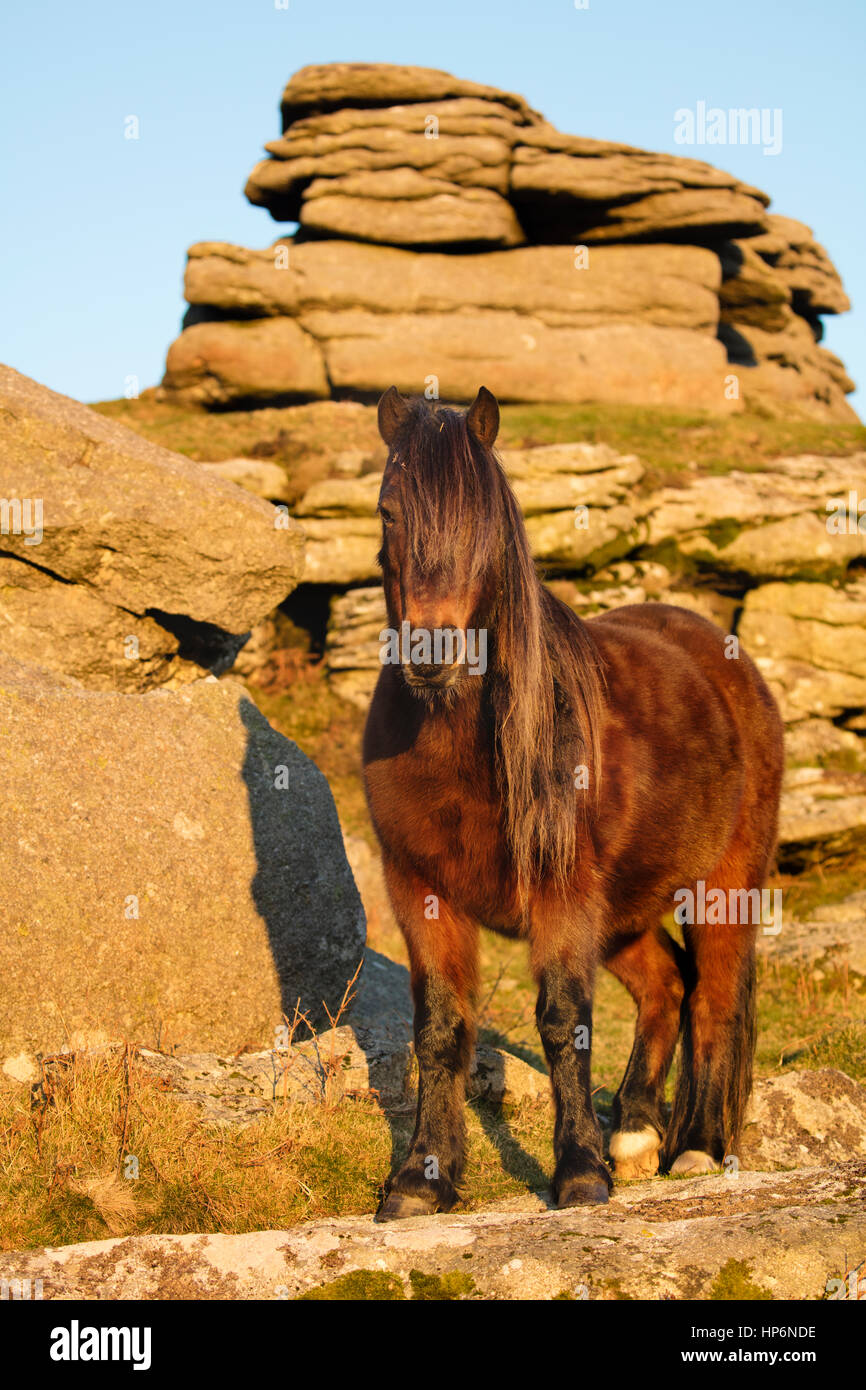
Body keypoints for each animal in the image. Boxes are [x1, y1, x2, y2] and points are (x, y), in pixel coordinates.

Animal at [361, 383, 783, 1217]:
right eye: (389, 511)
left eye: (484, 519)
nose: (432, 653)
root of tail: (730, 663)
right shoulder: (419, 888)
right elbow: (440, 1030)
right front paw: (423, 1178)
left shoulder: (562, 895)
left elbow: (563, 1021)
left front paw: (580, 1171)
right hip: (622, 912)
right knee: (666, 984)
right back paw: (640, 1131)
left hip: (720, 889)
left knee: (713, 1000)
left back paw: (692, 1146)